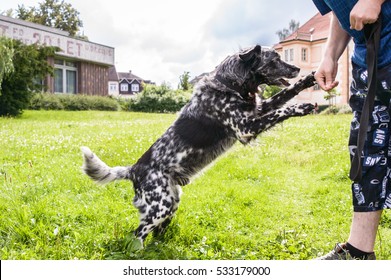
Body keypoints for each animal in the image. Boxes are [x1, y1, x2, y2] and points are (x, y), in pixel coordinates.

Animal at [81, 44, 316, 246]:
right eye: (274, 59)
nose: (297, 68)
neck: (230, 84)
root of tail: (133, 170)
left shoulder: (258, 110)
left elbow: (284, 95)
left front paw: (307, 81)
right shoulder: (245, 127)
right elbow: (283, 110)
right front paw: (302, 106)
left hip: (171, 202)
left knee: (155, 233)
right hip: (160, 207)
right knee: (137, 234)